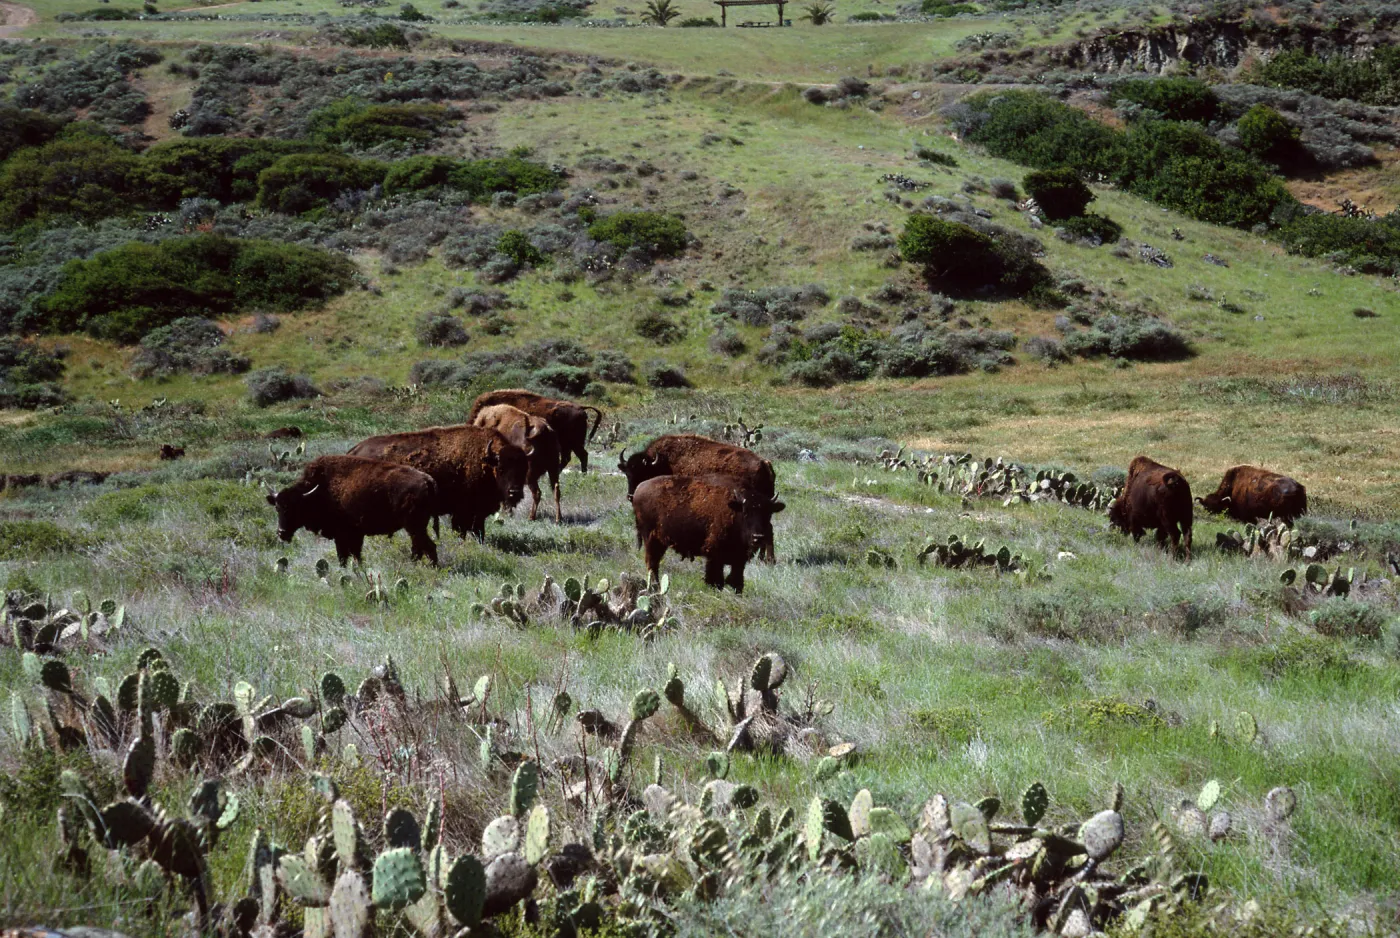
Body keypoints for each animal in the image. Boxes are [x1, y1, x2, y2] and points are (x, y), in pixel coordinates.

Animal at [265, 455, 439, 566]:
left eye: (295, 508)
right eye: (277, 508)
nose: (281, 533)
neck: (320, 490)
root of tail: (427, 480)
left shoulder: (342, 535)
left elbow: (343, 557)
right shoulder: (355, 535)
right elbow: (356, 556)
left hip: (414, 527)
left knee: (428, 547)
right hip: (416, 528)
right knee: (419, 548)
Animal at [348, 425, 529, 541]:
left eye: (524, 469)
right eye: (501, 469)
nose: (514, 492)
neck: (486, 460)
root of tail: (355, 449)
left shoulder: (477, 514)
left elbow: (479, 531)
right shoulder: (463, 512)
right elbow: (461, 530)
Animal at [619, 434, 779, 562]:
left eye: (643, 472)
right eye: (627, 473)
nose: (631, 496)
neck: (663, 462)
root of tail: (764, 464)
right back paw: (763, 559)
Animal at [632, 474, 785, 594]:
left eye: (768, 513)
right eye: (746, 512)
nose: (758, 537)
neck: (735, 509)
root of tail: (639, 489)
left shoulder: (739, 559)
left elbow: (736, 581)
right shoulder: (715, 554)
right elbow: (716, 580)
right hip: (651, 540)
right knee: (652, 564)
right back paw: (655, 588)